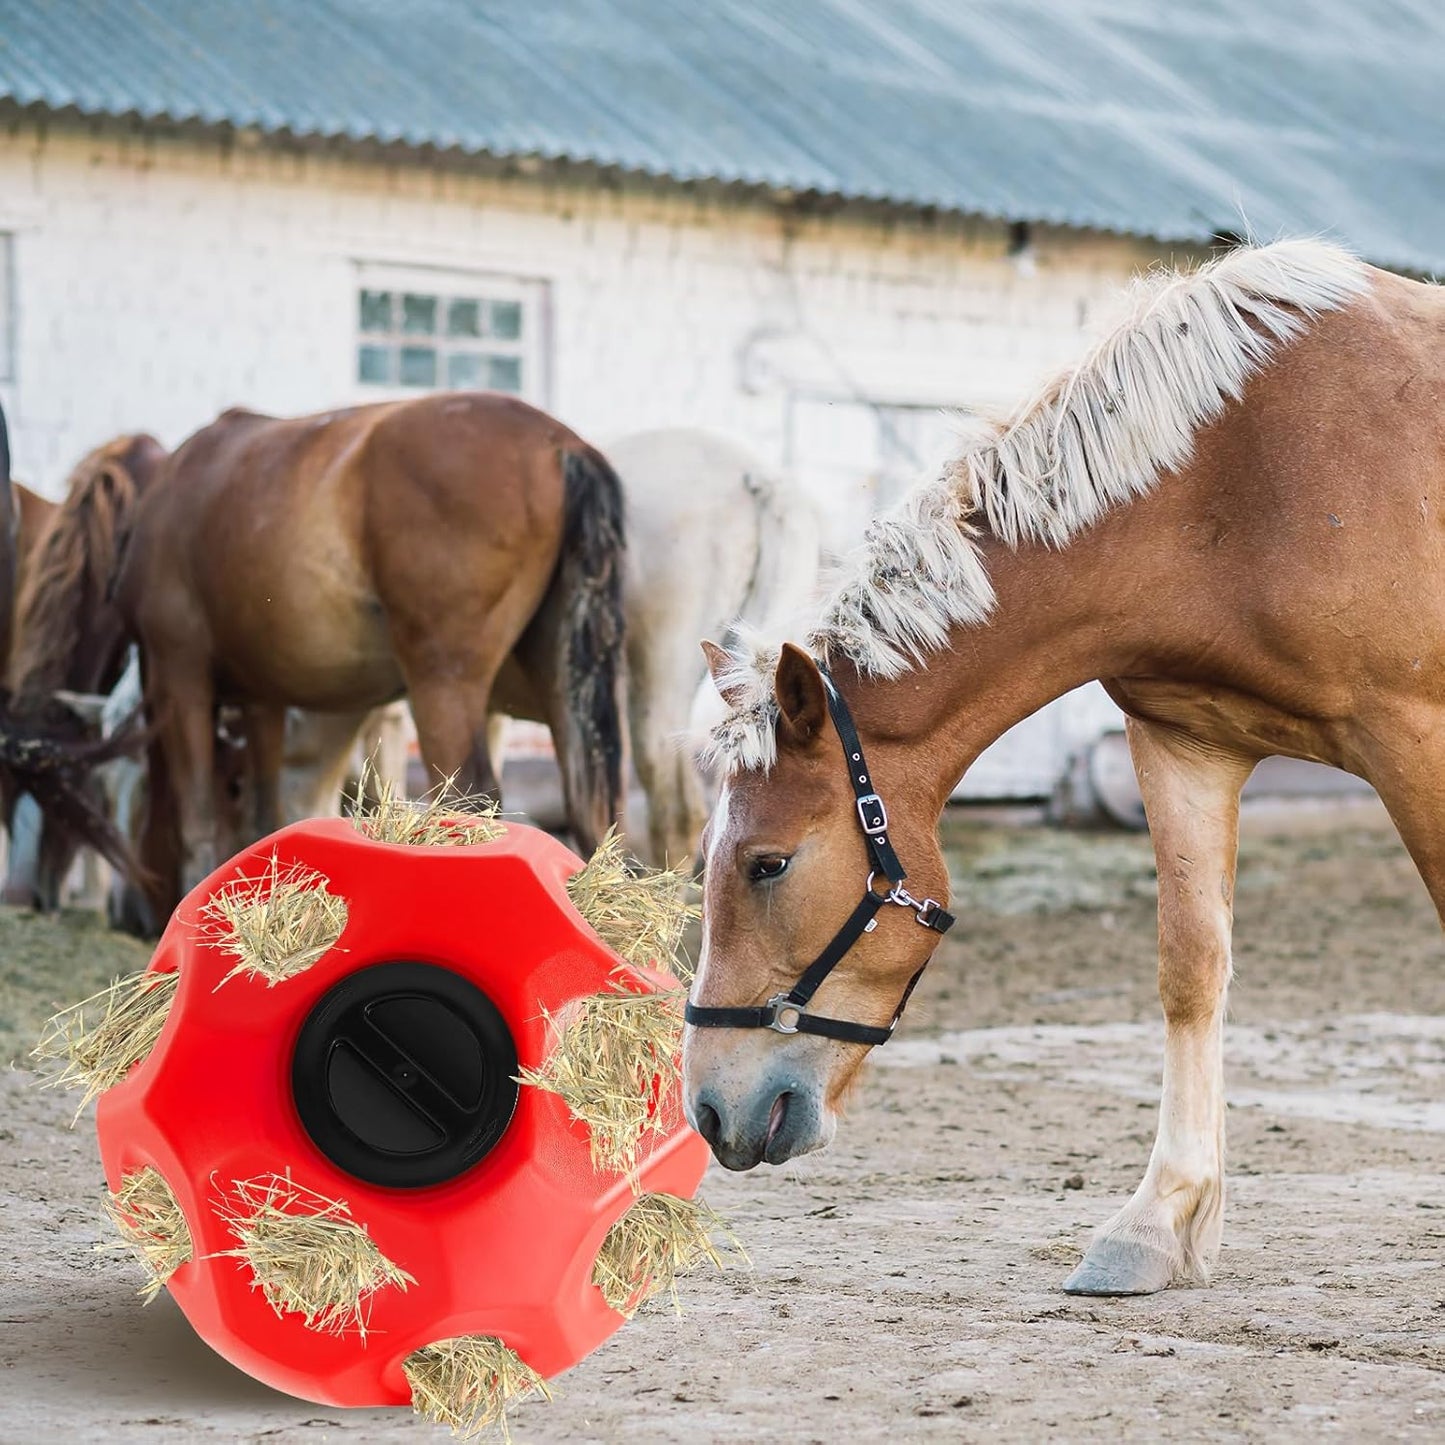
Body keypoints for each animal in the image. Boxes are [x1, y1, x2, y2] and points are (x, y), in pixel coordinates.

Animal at [111, 392, 627, 905]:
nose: (127, 911)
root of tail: (560, 443)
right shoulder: (263, 698)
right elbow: (263, 814)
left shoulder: (179, 678)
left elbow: (196, 820)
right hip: (560, 685)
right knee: (591, 811)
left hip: (442, 684)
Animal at [682, 238, 1442, 1299]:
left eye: (768, 864)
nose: (712, 1110)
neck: (1244, 479)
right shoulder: (1182, 743)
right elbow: (1189, 969)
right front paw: (1153, 1223)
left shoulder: (1413, 735)